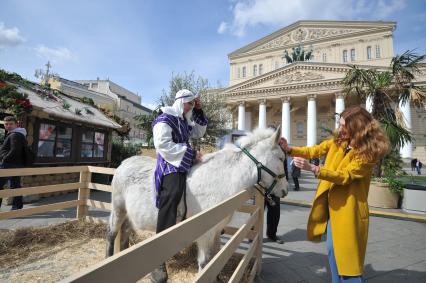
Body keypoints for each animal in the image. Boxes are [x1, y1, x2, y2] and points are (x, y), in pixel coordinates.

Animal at [105, 128, 290, 272]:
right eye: (281, 158)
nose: (285, 190)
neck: (222, 179)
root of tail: (123, 163)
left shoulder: (216, 230)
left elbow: (215, 258)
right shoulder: (206, 233)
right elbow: (205, 263)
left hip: (130, 215)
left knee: (125, 232)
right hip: (118, 208)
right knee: (112, 233)